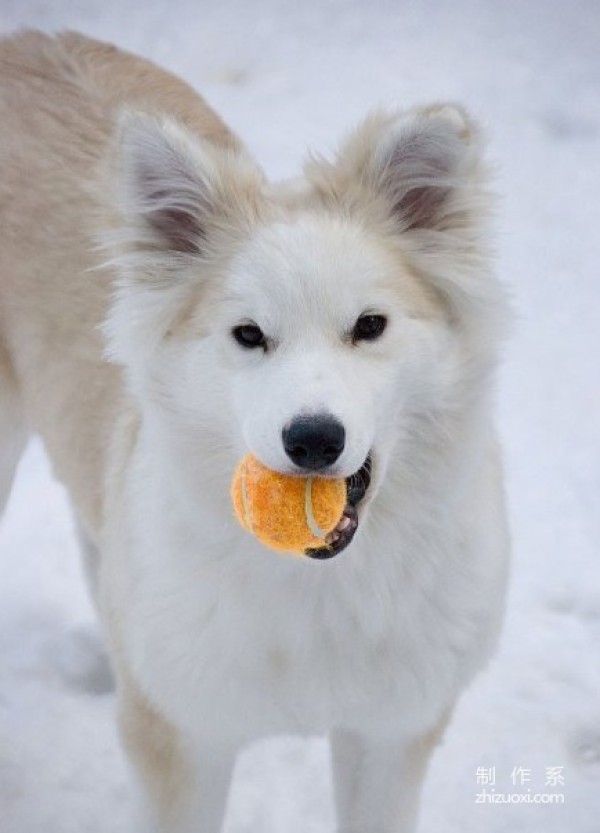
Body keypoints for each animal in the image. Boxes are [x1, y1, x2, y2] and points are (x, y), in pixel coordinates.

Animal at [0, 29, 508, 828]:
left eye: (370, 326)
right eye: (249, 335)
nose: (313, 439)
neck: (318, 590)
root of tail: (23, 41)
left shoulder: (391, 734)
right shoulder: (181, 740)